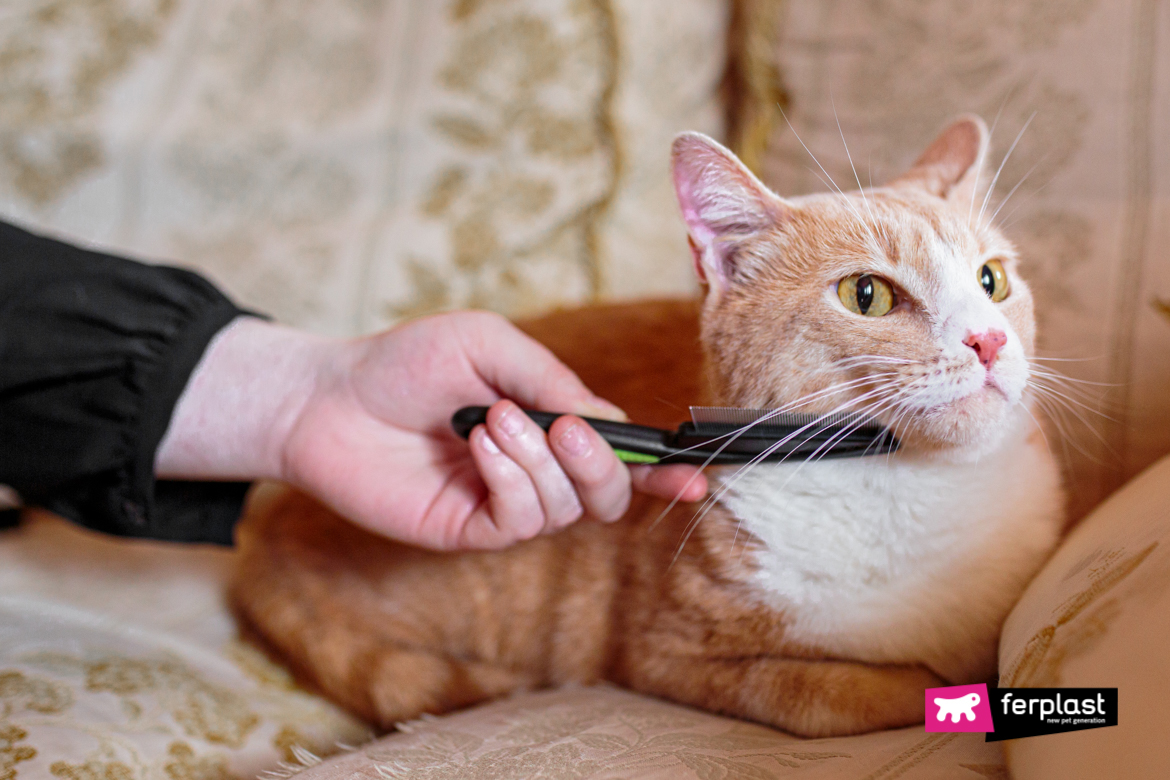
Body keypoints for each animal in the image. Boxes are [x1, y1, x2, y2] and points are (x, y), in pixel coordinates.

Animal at [232, 115, 1067, 739]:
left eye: (992, 280)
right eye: (868, 295)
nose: (987, 341)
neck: (915, 496)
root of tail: (264, 523)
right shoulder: (665, 658)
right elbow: (840, 694)